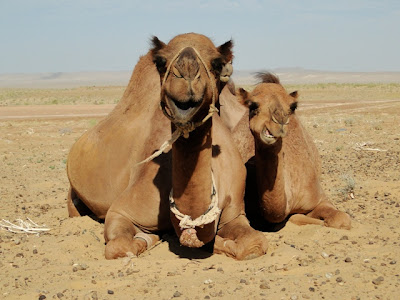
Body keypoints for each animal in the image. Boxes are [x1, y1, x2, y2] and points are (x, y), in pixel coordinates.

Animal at [67, 31, 268, 258]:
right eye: (161, 62)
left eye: (217, 63)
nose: (187, 70)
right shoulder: (121, 210)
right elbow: (120, 246)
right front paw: (150, 238)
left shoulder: (234, 211)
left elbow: (253, 244)